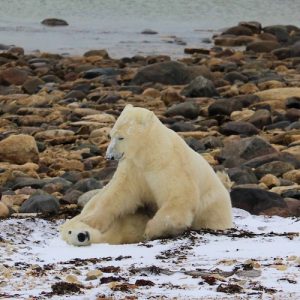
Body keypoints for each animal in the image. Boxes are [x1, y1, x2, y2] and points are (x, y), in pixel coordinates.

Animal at [59, 104, 232, 245]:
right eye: (111, 134)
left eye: (121, 137)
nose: (110, 156)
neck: (150, 155)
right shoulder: (134, 167)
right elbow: (120, 193)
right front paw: (90, 220)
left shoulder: (170, 166)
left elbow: (178, 197)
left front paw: (150, 230)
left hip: (213, 208)